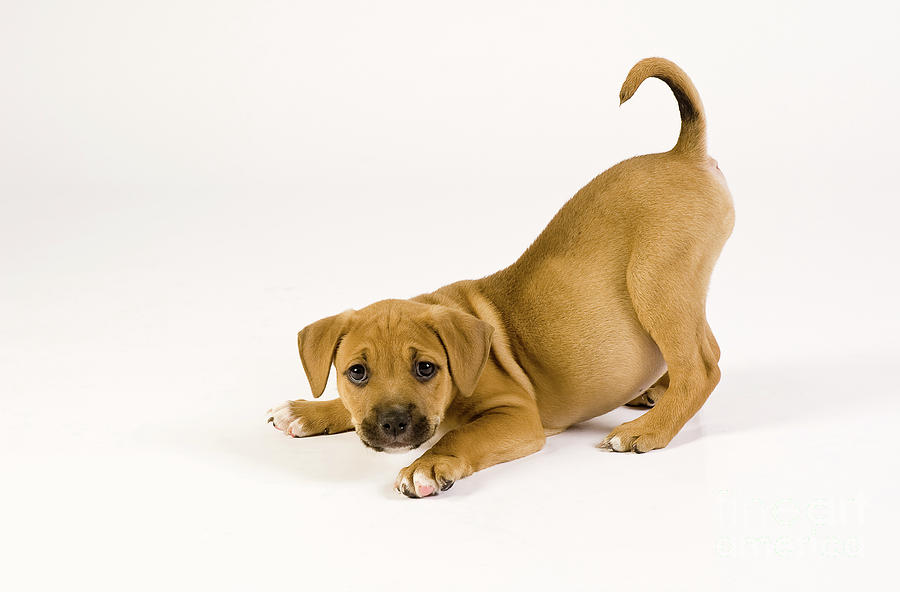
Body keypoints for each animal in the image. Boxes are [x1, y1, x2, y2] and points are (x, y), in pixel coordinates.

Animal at [266, 57, 732, 498]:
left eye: (426, 369)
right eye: (357, 372)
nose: (394, 424)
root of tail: (684, 152)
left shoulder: (516, 414)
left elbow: (459, 436)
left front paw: (427, 466)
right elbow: (348, 407)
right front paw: (309, 410)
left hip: (656, 279)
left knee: (702, 366)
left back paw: (647, 429)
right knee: (703, 348)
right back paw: (650, 392)